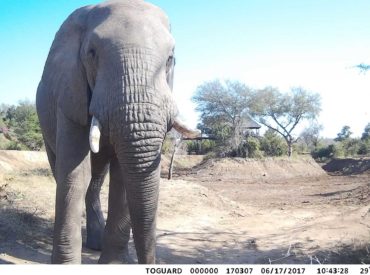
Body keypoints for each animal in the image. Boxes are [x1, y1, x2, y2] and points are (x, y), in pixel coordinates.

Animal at [36, 0, 199, 266]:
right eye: (92, 53)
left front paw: (113, 264)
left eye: (170, 59)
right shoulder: (69, 93)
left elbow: (123, 175)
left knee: (97, 177)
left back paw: (96, 244)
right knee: (64, 170)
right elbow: (74, 173)